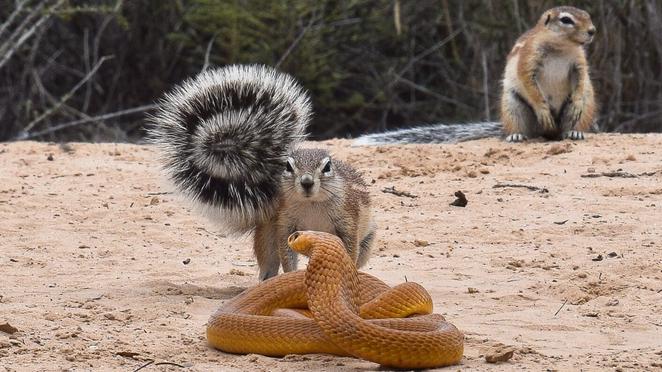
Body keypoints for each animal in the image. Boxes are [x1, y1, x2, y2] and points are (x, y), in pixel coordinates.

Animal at [151, 64, 378, 280]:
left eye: (327, 167)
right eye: (288, 167)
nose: (306, 182)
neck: (311, 205)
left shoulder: (348, 220)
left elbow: (349, 250)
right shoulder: (285, 224)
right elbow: (286, 254)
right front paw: (292, 275)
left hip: (367, 242)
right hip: (267, 235)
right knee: (269, 264)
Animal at [356, 6, 600, 145]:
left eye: (588, 16)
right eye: (566, 20)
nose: (592, 31)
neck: (561, 48)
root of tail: (549, 131)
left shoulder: (579, 62)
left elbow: (581, 80)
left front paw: (577, 98)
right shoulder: (528, 60)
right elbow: (529, 83)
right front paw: (542, 108)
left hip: (584, 109)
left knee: (572, 123)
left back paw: (574, 133)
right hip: (514, 105)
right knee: (523, 129)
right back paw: (517, 135)